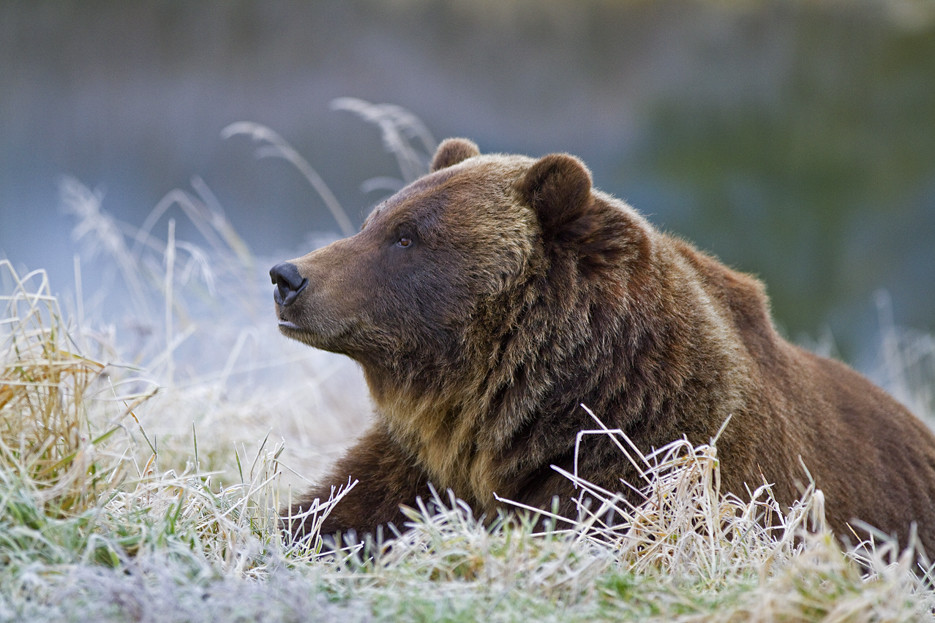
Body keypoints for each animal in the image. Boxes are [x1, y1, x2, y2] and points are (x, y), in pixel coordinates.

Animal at [270, 138, 935, 554]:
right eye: (374, 220)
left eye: (407, 236)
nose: (288, 276)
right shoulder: (418, 460)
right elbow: (335, 512)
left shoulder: (645, 456)